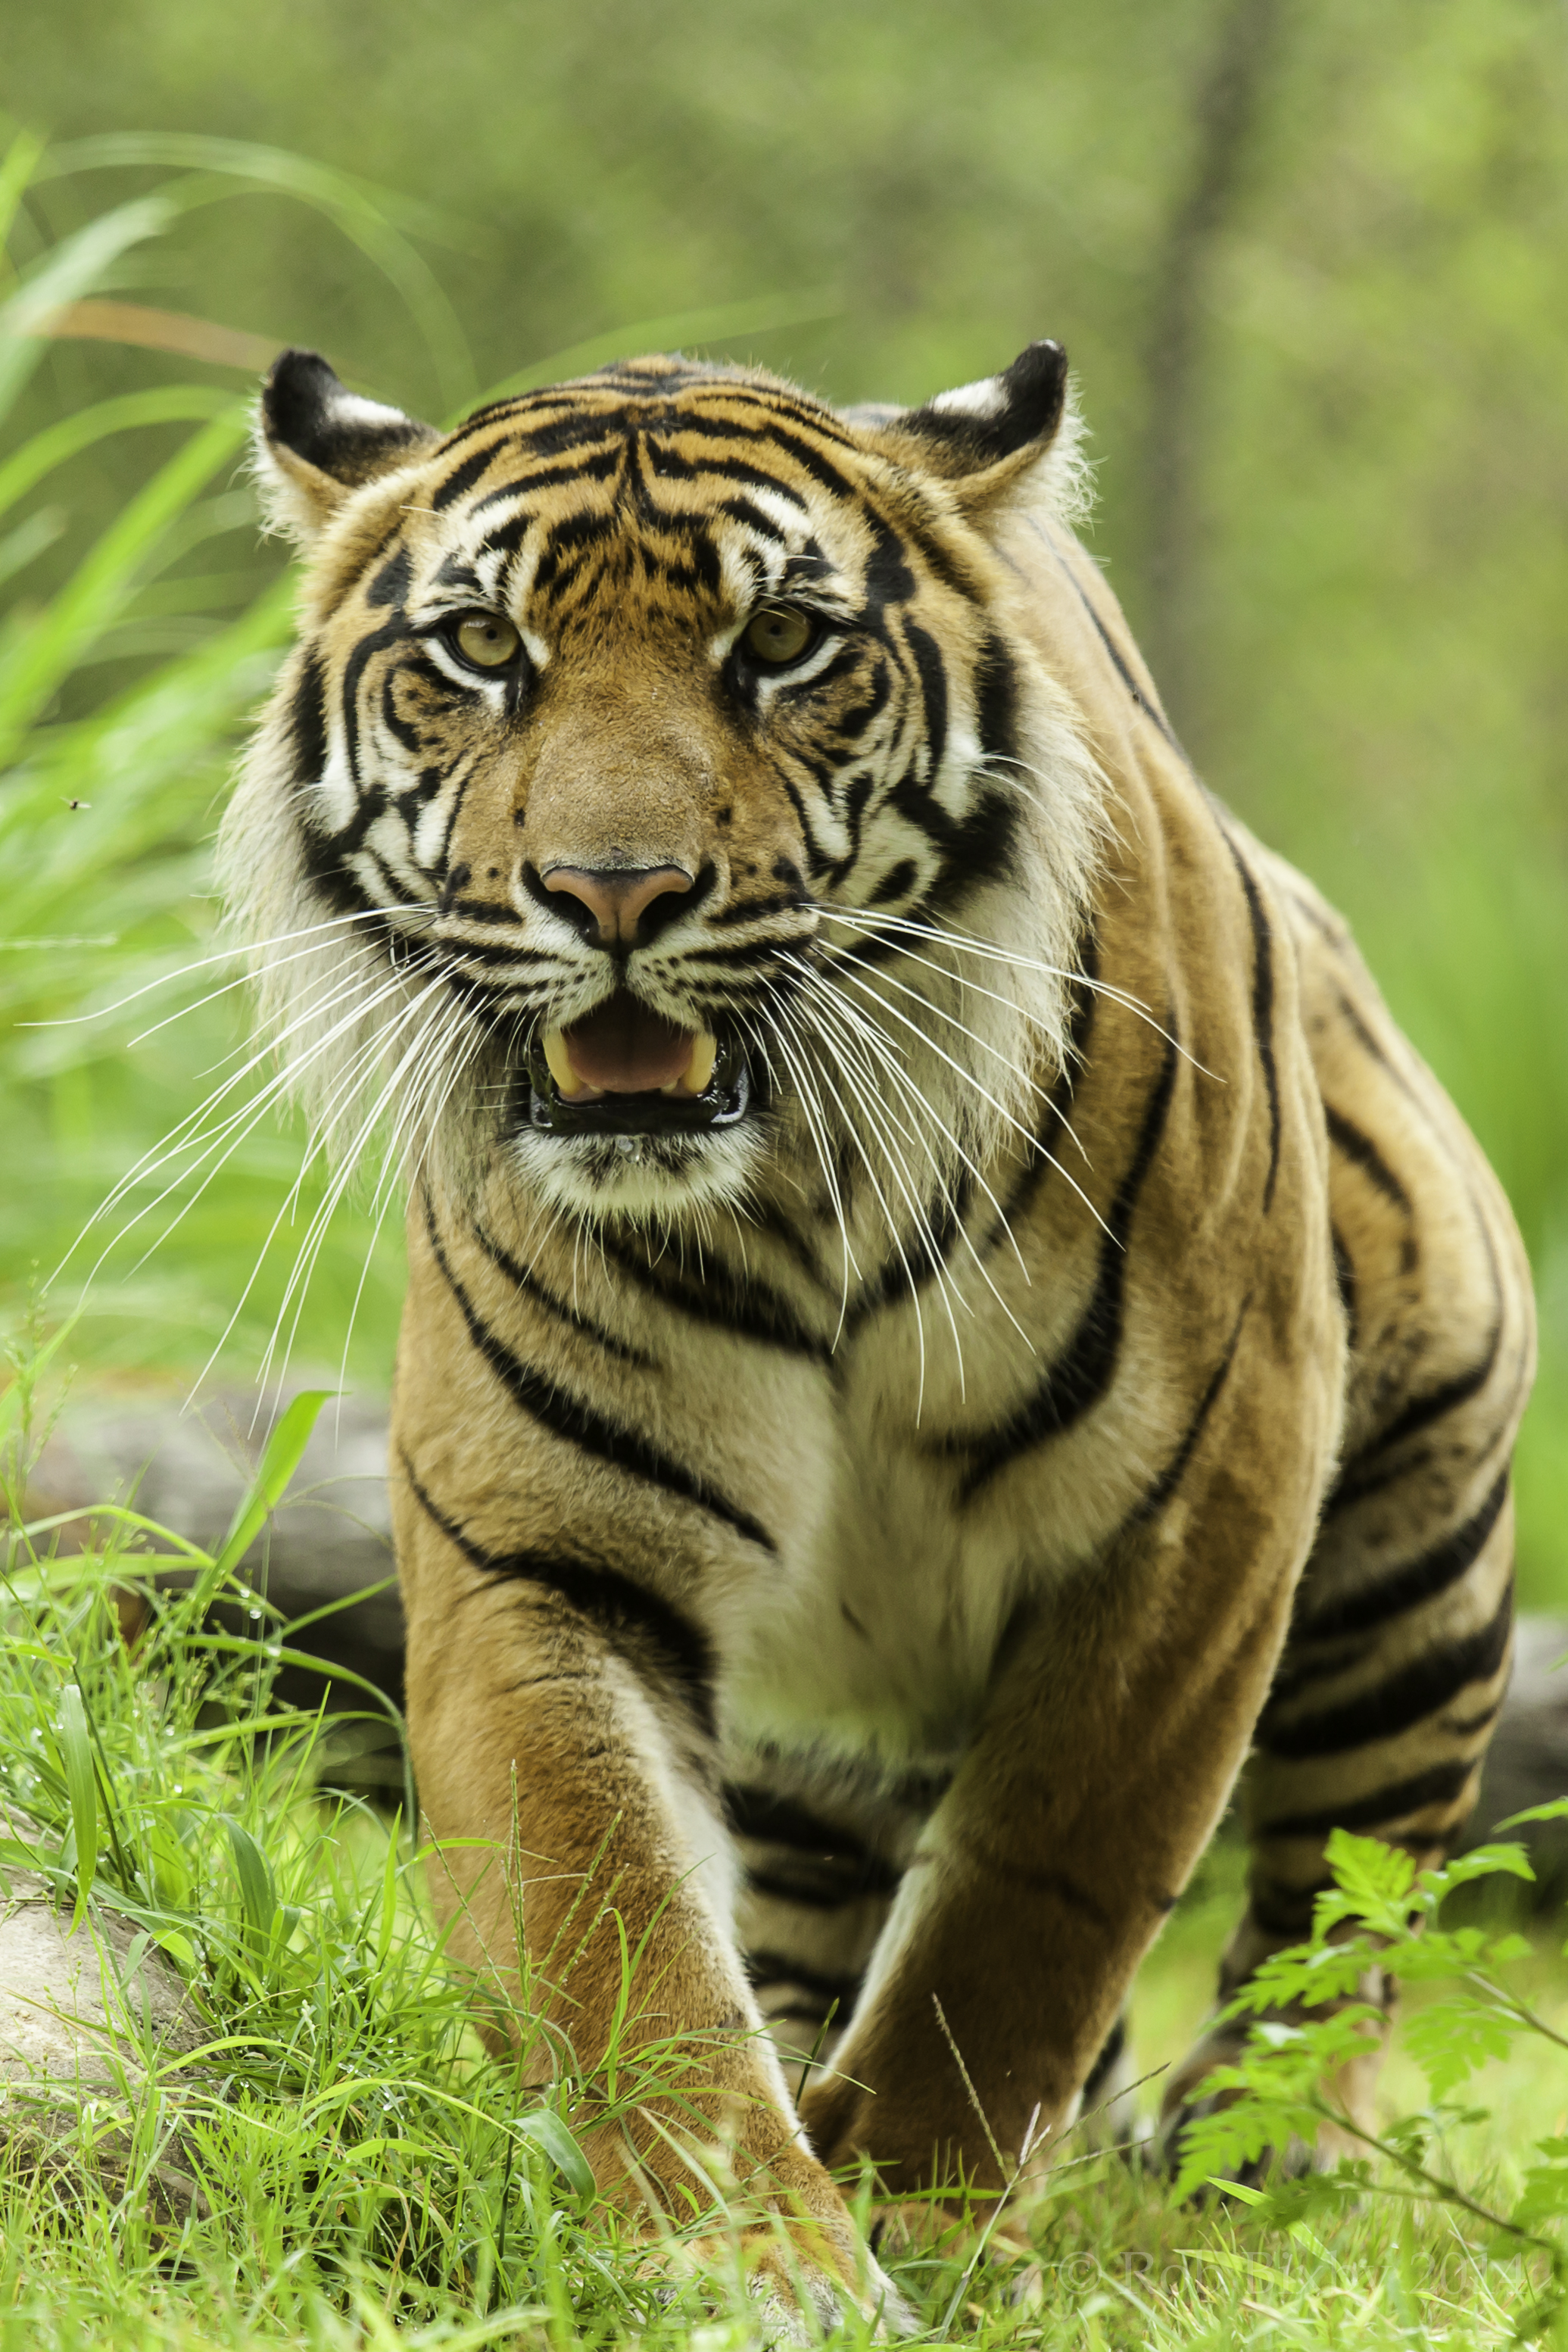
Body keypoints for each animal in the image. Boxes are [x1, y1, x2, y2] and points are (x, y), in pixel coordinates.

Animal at [224, 336, 1534, 2336]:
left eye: (779, 642)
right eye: (480, 649)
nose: (613, 893)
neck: (787, 1189)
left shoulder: (1195, 1516)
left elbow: (1029, 1910)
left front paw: (914, 2203)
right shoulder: (541, 1554)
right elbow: (618, 1931)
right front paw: (749, 2248)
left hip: (1410, 1560)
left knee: (1333, 1921)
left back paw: (1254, 2172)